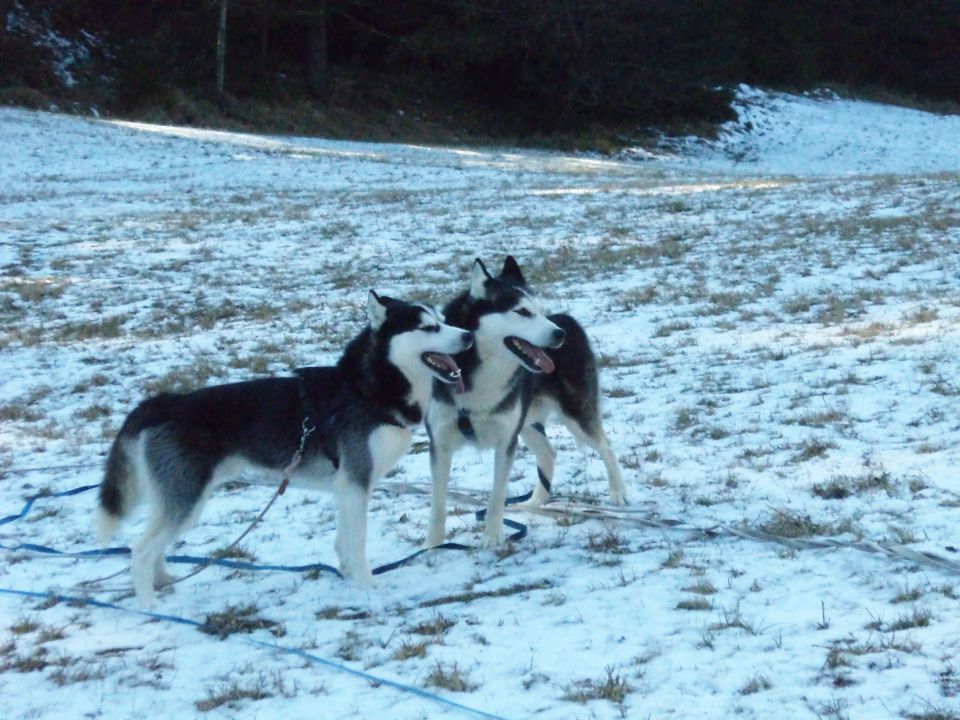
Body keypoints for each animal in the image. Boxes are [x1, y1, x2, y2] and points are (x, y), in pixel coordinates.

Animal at [98, 292, 472, 600]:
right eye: (428, 327)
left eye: (442, 319)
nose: (468, 335)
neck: (369, 389)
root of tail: (165, 402)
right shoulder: (356, 482)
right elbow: (357, 541)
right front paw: (367, 585)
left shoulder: (346, 487)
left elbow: (343, 541)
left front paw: (348, 577)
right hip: (187, 499)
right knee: (141, 550)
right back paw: (149, 603)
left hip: (175, 497)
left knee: (153, 545)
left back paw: (163, 580)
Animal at [426, 258, 624, 544]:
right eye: (521, 311)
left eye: (539, 310)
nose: (559, 335)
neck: (479, 370)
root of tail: (567, 319)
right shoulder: (440, 443)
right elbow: (438, 504)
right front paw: (432, 545)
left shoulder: (505, 440)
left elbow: (496, 496)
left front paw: (493, 538)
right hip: (527, 422)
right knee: (549, 454)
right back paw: (534, 502)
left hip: (574, 413)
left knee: (605, 446)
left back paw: (618, 493)